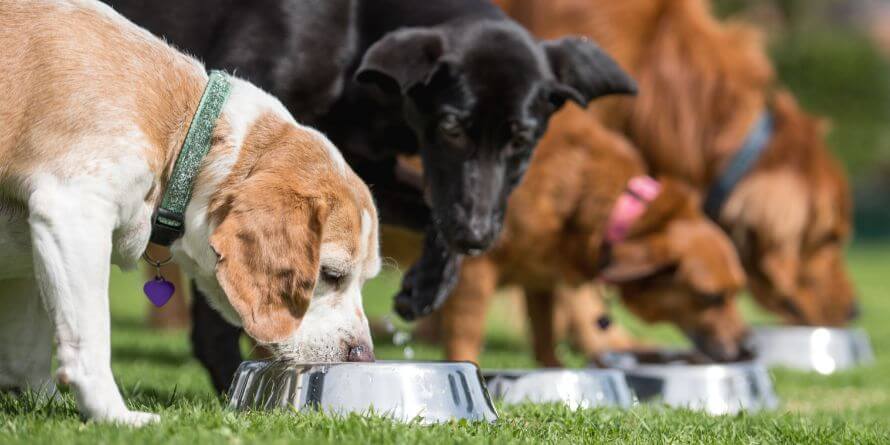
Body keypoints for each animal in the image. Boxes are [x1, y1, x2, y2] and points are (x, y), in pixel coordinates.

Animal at [0, 0, 378, 424]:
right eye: (330, 275)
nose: (364, 357)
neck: (184, 132)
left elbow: (26, 351)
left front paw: (43, 400)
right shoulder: (72, 212)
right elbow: (90, 340)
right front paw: (113, 416)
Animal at [106, 0, 632, 388]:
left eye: (522, 140)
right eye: (451, 128)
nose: (477, 235)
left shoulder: (365, 167)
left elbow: (429, 212)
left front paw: (429, 284)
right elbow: (226, 306)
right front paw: (232, 376)